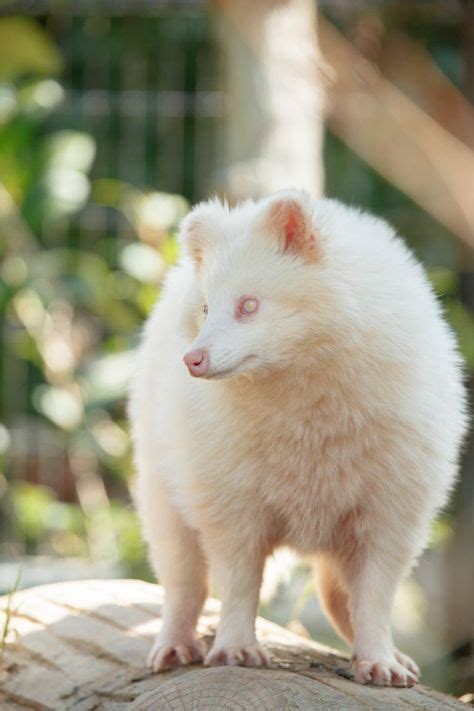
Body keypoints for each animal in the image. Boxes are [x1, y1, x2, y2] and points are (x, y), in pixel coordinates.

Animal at [130, 189, 466, 684]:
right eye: (207, 308)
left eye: (249, 305)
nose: (193, 359)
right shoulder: (228, 493)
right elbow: (238, 579)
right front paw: (237, 647)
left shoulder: (394, 503)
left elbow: (376, 590)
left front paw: (379, 659)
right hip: (163, 481)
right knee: (182, 579)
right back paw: (173, 644)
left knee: (337, 593)